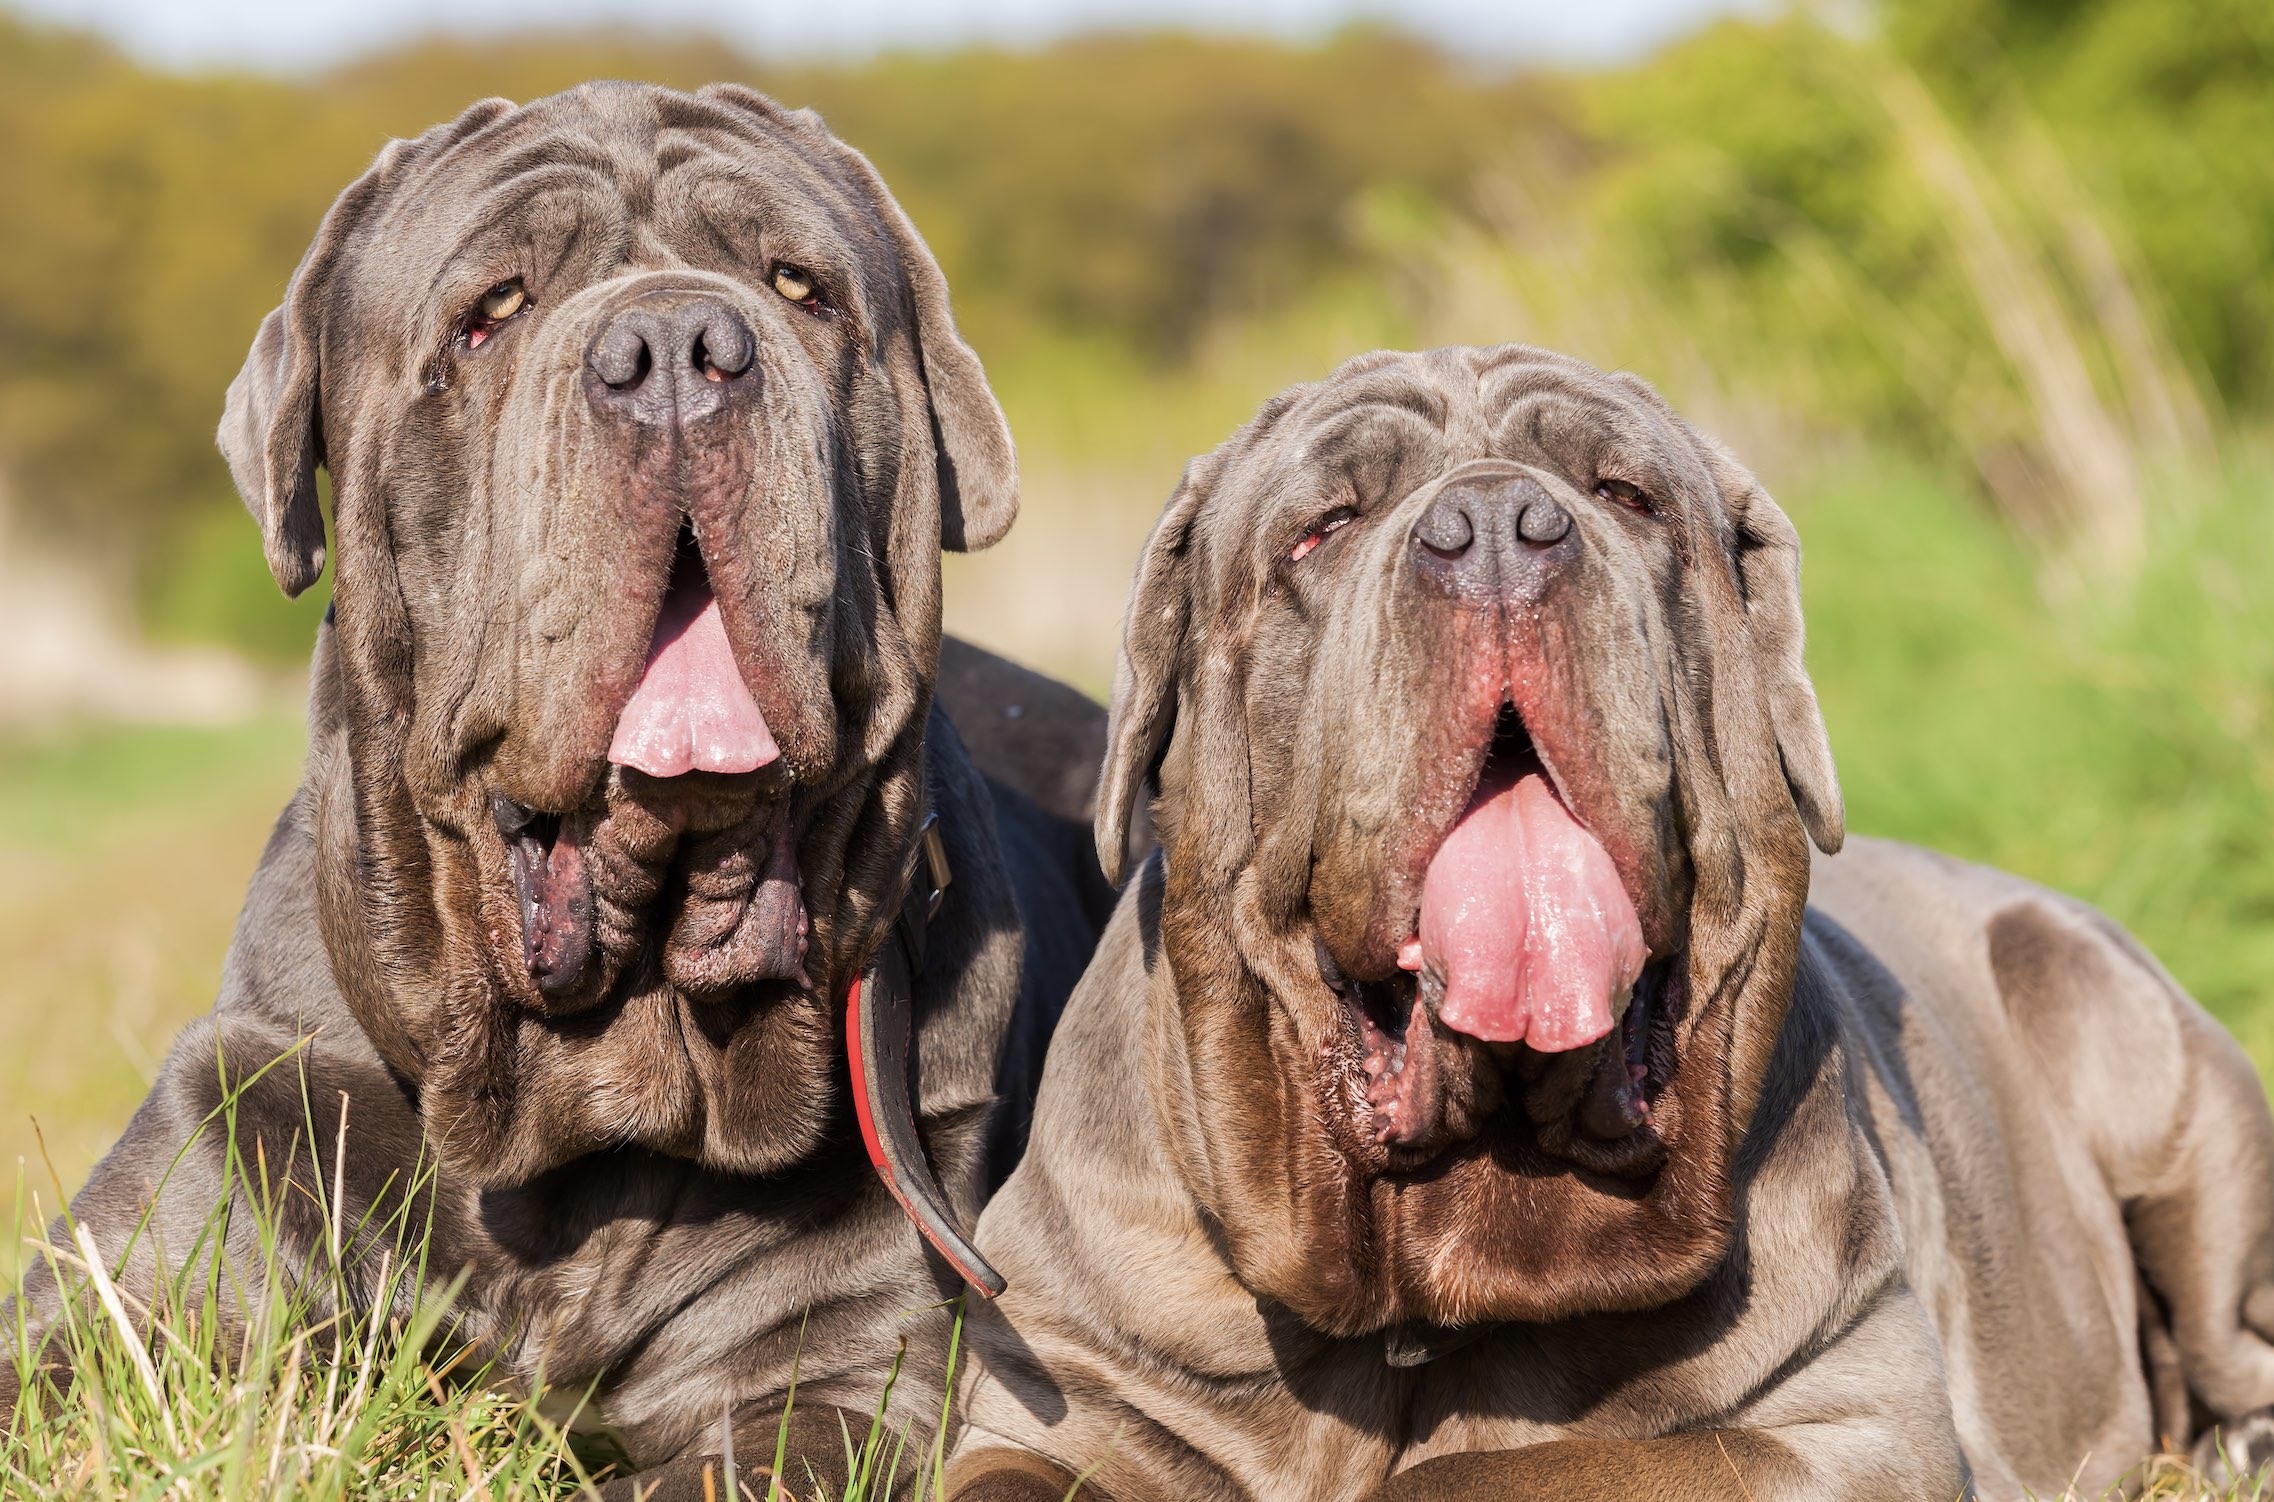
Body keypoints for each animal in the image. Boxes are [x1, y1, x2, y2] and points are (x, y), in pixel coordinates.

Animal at [945, 345, 2274, 1499]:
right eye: (1321, 526)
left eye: (1625, 496)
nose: (1492, 528)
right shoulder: (1065, 1396)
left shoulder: (1844, 1424)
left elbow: (1488, 1472)